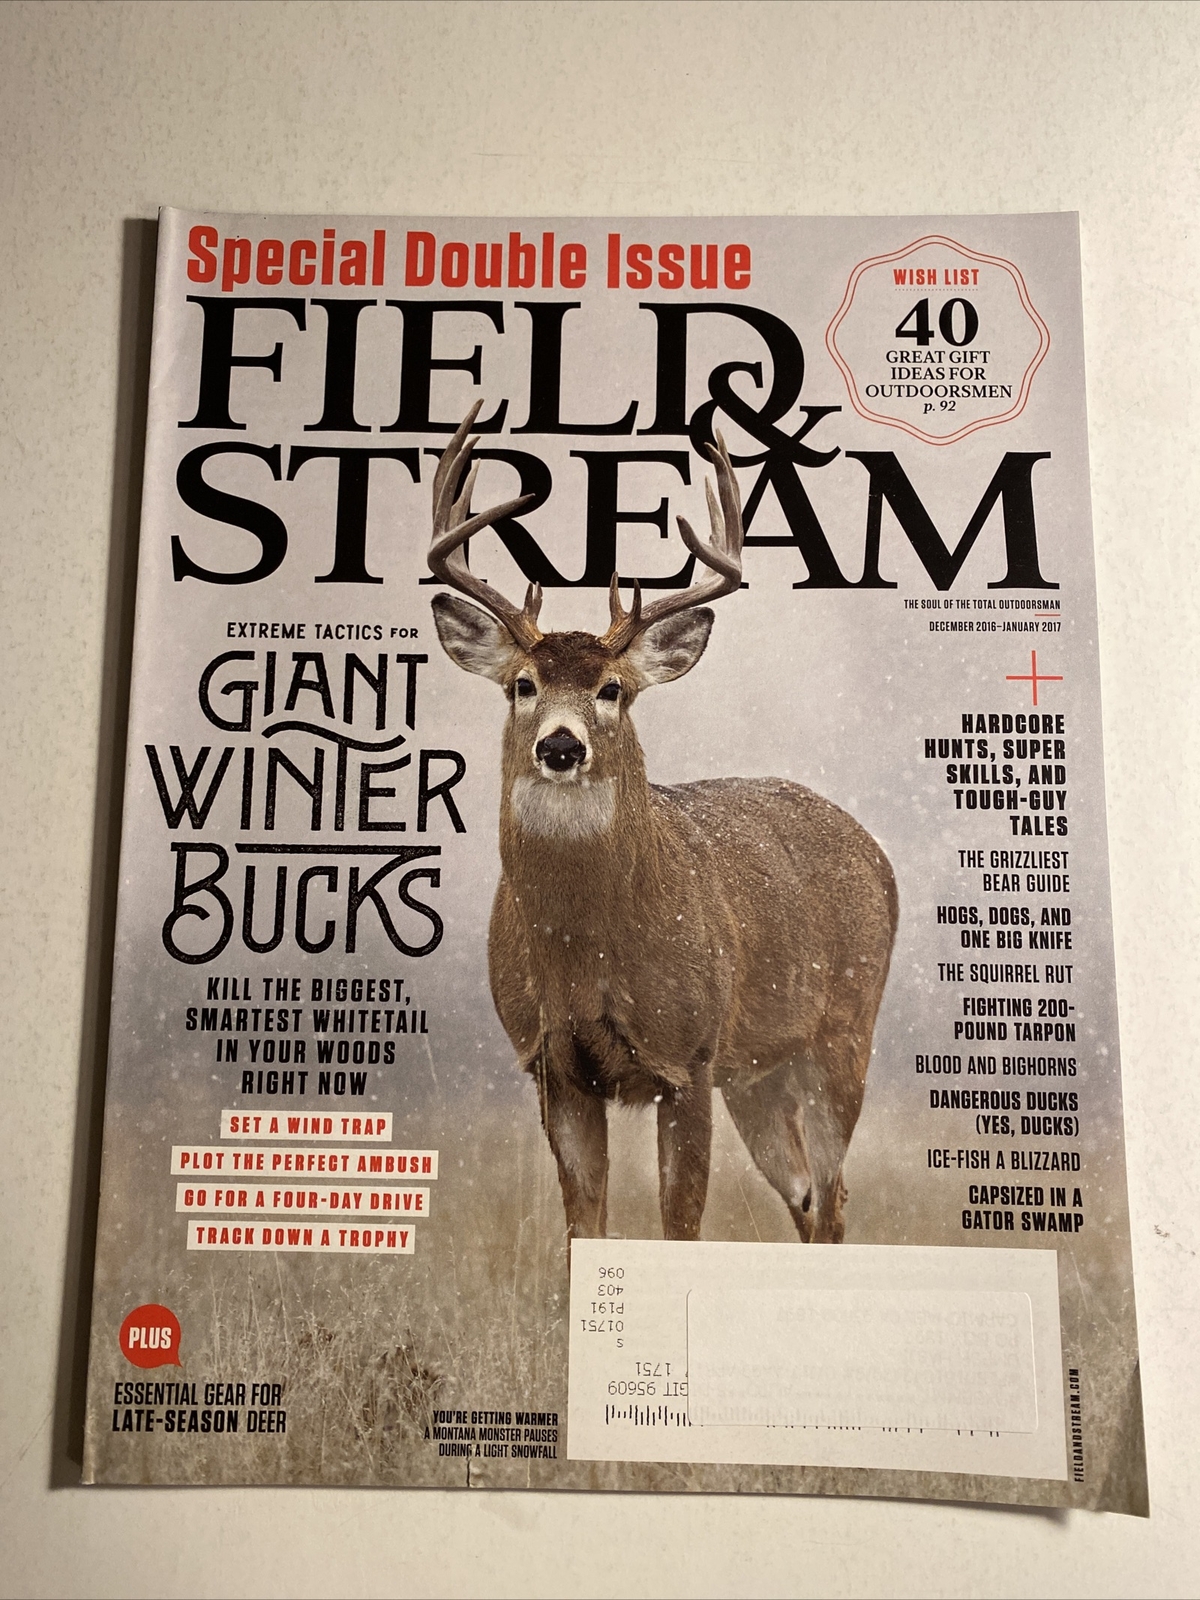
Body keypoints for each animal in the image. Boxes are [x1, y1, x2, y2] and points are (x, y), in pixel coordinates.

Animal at [428, 404, 898, 1245]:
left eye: (613, 689)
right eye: (522, 684)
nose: (560, 745)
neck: (584, 950)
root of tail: (878, 854)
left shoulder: (690, 1055)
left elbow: (680, 1224)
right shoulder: (552, 1063)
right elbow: (585, 1229)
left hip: (843, 1029)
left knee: (835, 1197)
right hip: (760, 1072)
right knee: (807, 1195)